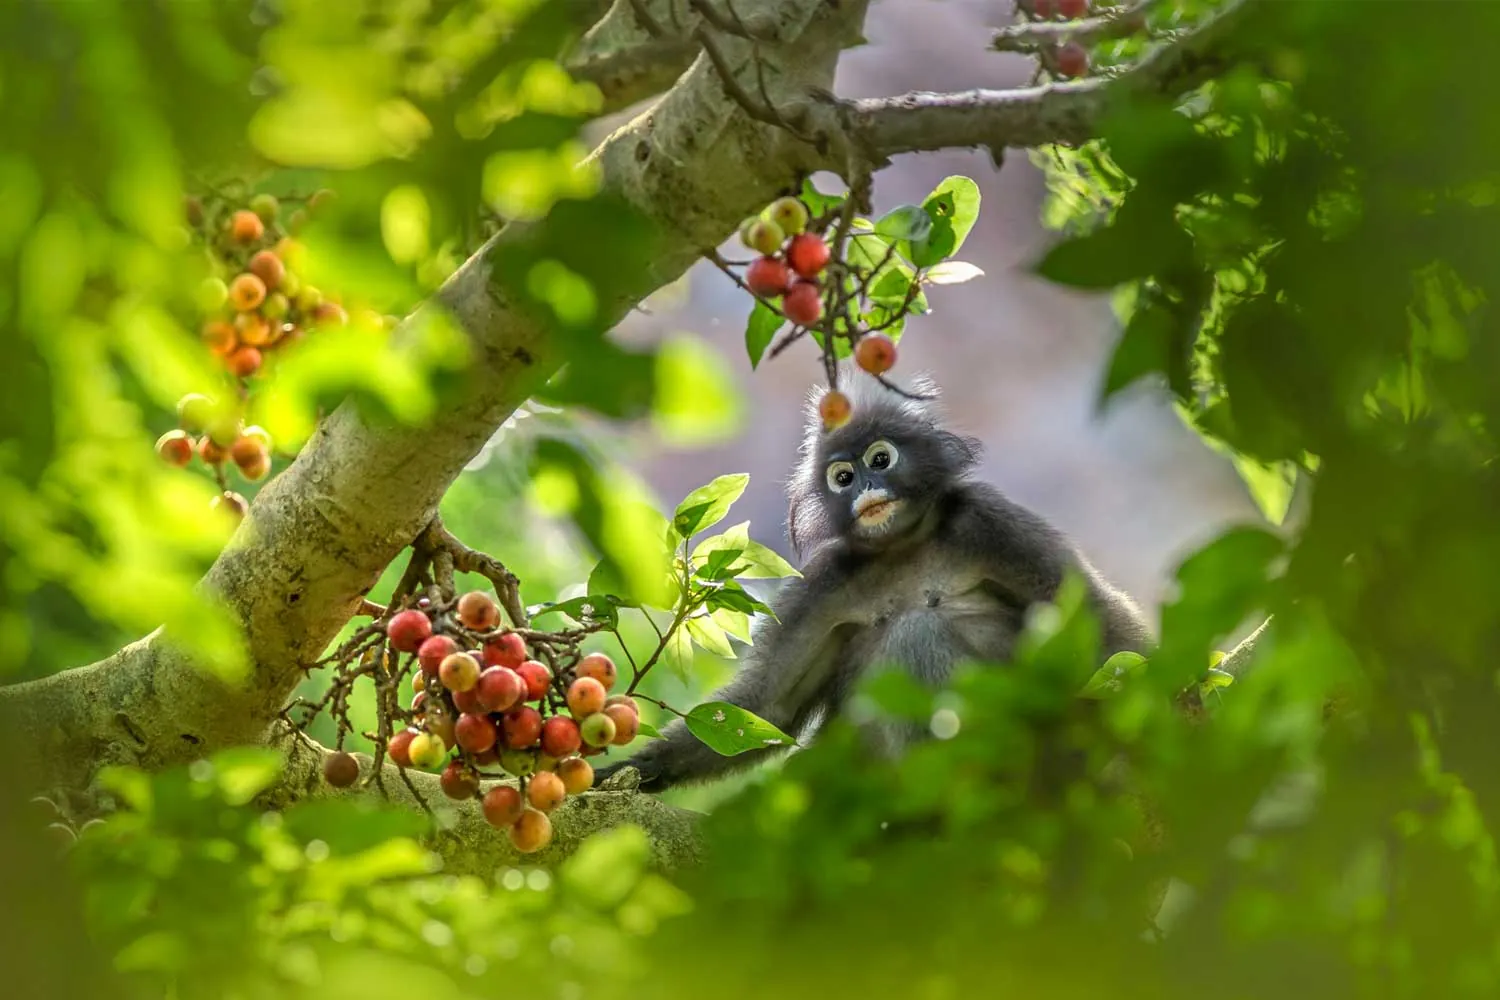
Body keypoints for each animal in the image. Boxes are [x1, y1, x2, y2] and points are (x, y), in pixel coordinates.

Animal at [594, 373, 1155, 793]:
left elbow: (1101, 621)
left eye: (880, 459)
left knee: (916, 632)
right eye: (842, 476)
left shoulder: (990, 523)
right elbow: (767, 707)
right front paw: (625, 773)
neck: (902, 547)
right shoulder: (822, 581)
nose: (865, 487)